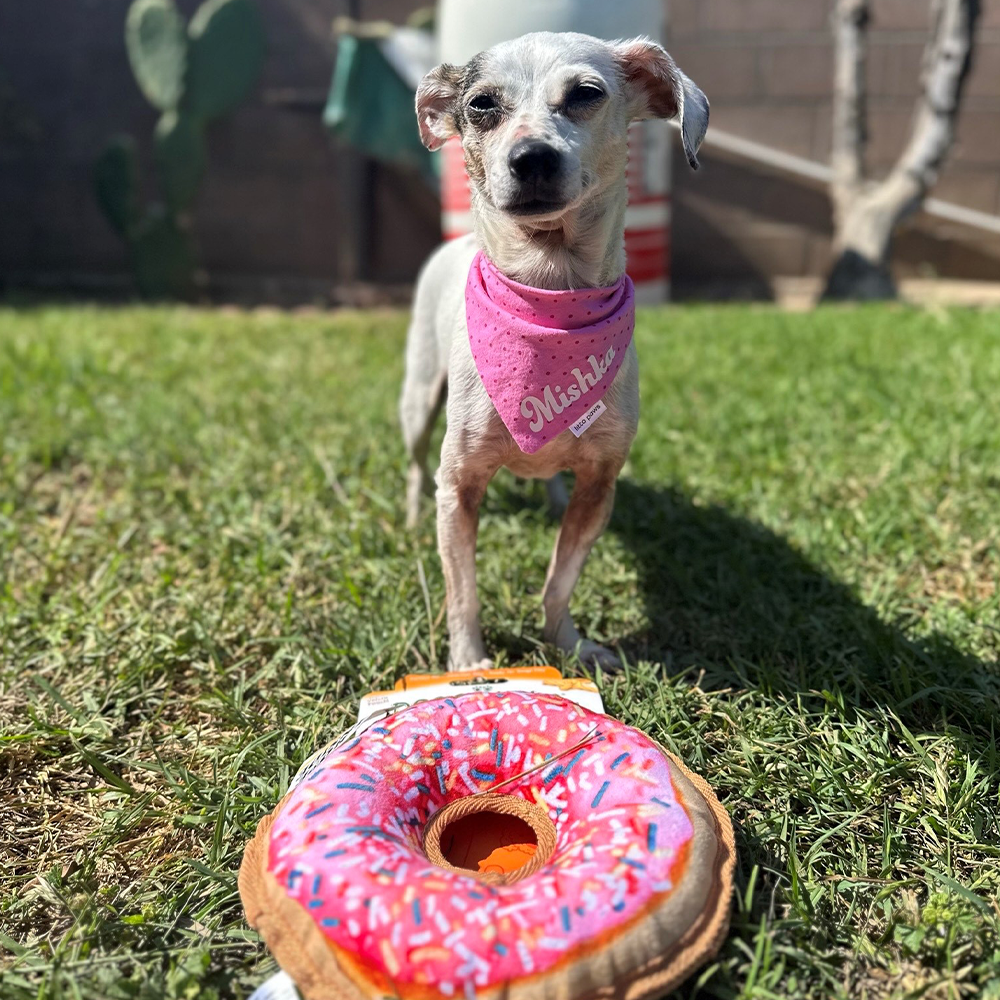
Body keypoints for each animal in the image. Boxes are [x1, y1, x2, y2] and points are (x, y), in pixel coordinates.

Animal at [400, 31, 712, 672]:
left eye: (586, 94)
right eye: (481, 105)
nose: (532, 158)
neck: (548, 297)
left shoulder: (600, 486)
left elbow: (559, 580)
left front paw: (567, 643)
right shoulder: (460, 484)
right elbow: (462, 590)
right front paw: (469, 664)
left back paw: (549, 494)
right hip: (418, 401)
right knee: (416, 465)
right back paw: (415, 514)